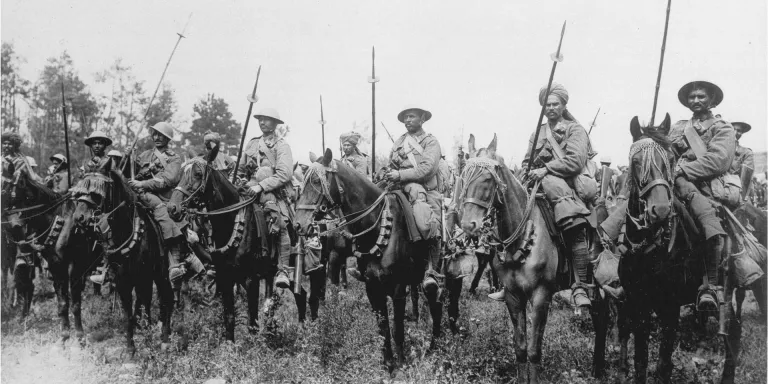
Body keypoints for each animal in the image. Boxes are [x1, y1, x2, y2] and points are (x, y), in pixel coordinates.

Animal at [166, 150, 322, 342]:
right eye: (181, 174)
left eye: (197, 174)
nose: (172, 208)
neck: (231, 221)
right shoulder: (225, 278)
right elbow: (229, 318)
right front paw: (230, 346)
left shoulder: (251, 280)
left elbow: (252, 323)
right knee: (301, 297)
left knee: (309, 297)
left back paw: (310, 331)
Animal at [294, 150, 450, 372]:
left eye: (317, 182)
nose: (298, 224)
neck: (379, 227)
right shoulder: (372, 287)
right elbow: (383, 328)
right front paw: (387, 364)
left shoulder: (398, 289)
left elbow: (397, 329)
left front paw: (400, 364)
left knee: (436, 302)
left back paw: (435, 347)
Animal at [456, 136, 612, 384]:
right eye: (464, 176)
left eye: (488, 178)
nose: (468, 225)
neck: (522, 234)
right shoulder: (513, 296)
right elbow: (520, 347)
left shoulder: (541, 297)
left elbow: (534, 350)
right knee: (600, 318)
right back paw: (597, 368)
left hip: (600, 284)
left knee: (603, 318)